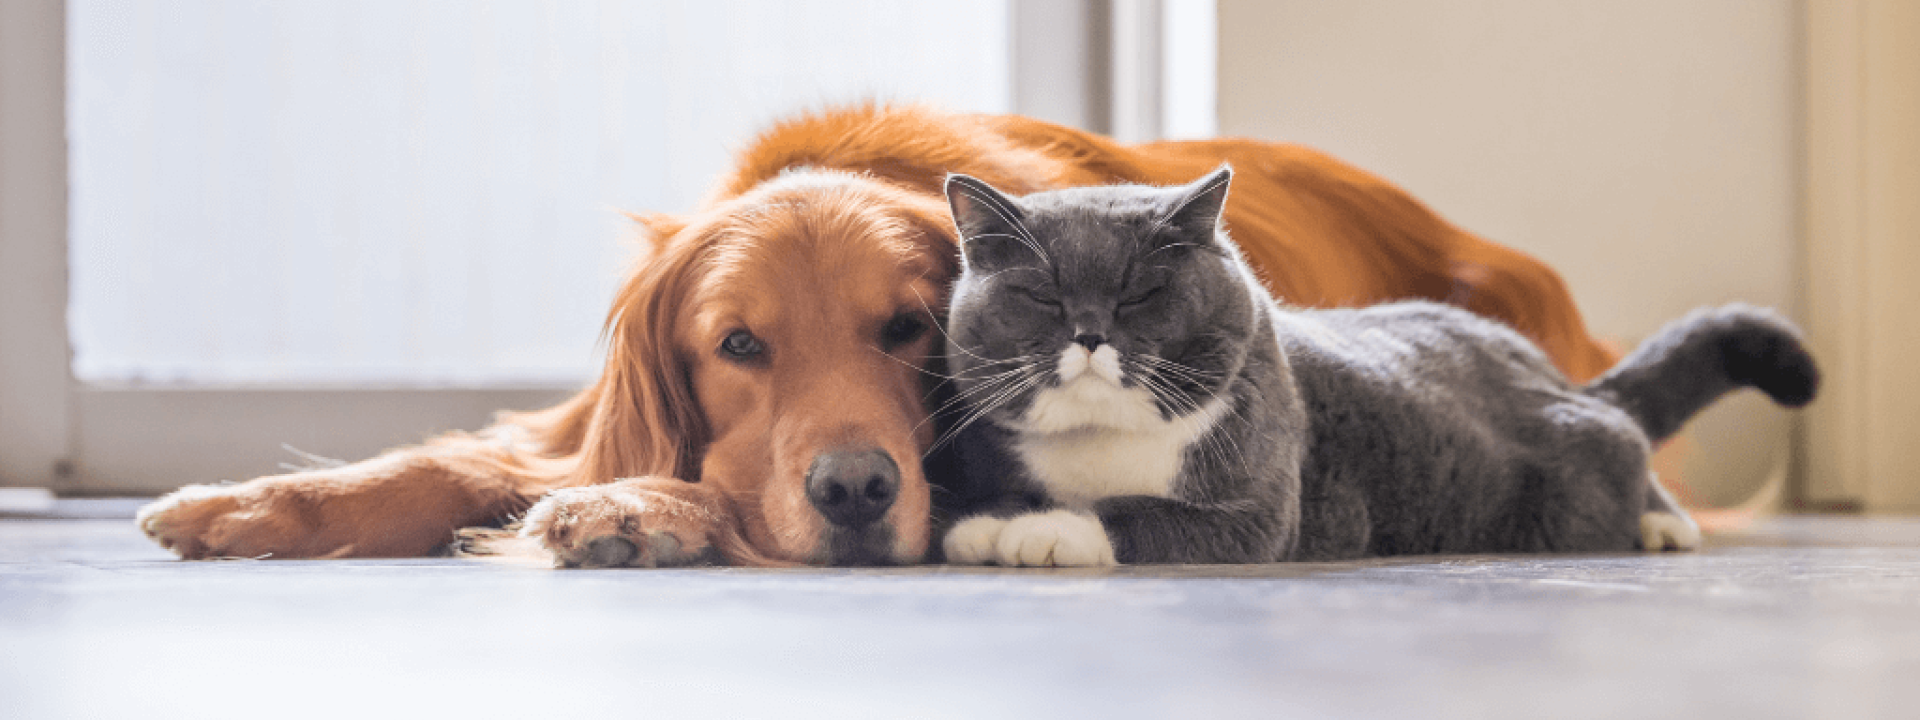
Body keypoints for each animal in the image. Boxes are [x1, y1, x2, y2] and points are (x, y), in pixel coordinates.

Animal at [127, 105, 1612, 568]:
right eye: (737, 348)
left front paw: (641, 513)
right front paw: (245, 504)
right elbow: (453, 461)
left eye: (908, 329)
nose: (852, 492)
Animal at [936, 166, 1820, 568]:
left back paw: (1665, 523)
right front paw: (992, 519)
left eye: (1142, 293)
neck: (1103, 441)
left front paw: (1034, 532)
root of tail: (1542, 367)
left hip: (1573, 471)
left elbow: (1132, 512)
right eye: (1042, 297)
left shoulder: (1258, 513)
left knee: (1625, 438)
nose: (1090, 333)